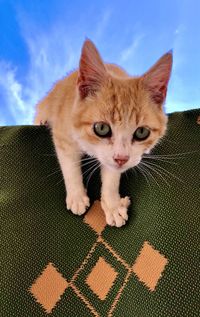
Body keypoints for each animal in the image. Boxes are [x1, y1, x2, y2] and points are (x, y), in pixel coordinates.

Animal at [34, 39, 172, 227]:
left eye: (142, 132)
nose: (122, 159)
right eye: (101, 128)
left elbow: (111, 177)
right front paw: (77, 196)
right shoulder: (63, 135)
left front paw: (112, 206)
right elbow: (70, 166)